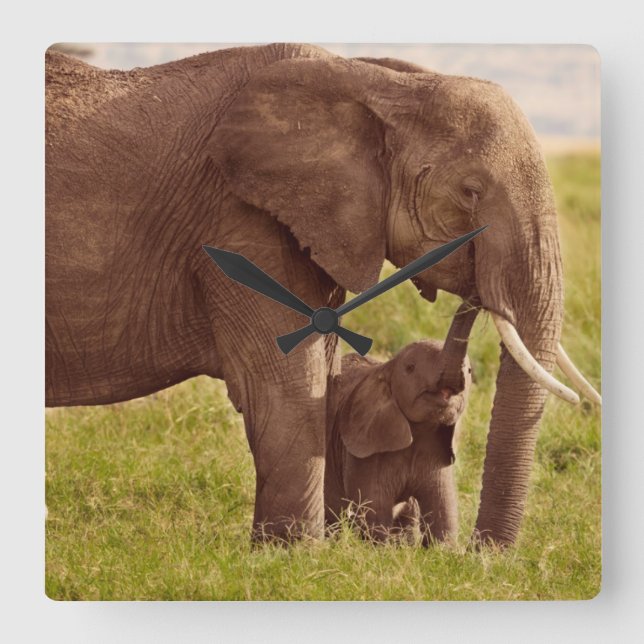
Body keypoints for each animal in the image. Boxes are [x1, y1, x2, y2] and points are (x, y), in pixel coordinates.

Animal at [325, 302, 476, 544]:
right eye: (410, 368)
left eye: (470, 371)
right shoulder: (365, 452)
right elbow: (375, 508)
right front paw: (379, 547)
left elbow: (443, 509)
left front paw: (442, 550)